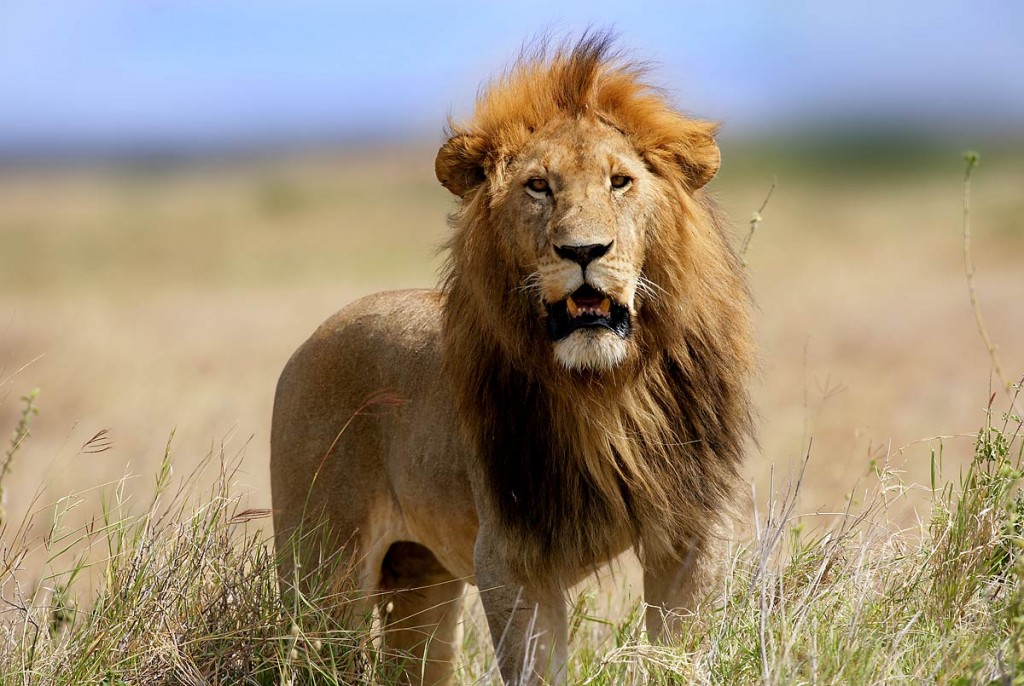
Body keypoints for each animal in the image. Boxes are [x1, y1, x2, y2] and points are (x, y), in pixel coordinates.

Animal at [270, 34, 753, 683]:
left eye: (620, 181)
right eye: (538, 186)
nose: (583, 251)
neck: (606, 392)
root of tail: (311, 340)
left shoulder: (694, 535)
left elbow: (681, 656)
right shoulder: (511, 559)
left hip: (420, 583)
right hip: (325, 574)